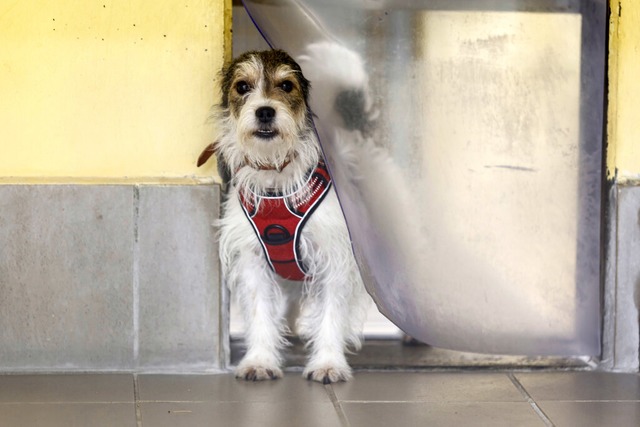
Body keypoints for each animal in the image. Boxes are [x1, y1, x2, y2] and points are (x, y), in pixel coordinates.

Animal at [200, 49, 370, 384]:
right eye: (242, 86)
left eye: (286, 85)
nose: (265, 111)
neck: (275, 176)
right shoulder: (252, 258)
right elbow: (259, 312)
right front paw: (260, 359)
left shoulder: (334, 258)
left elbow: (332, 312)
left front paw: (328, 362)